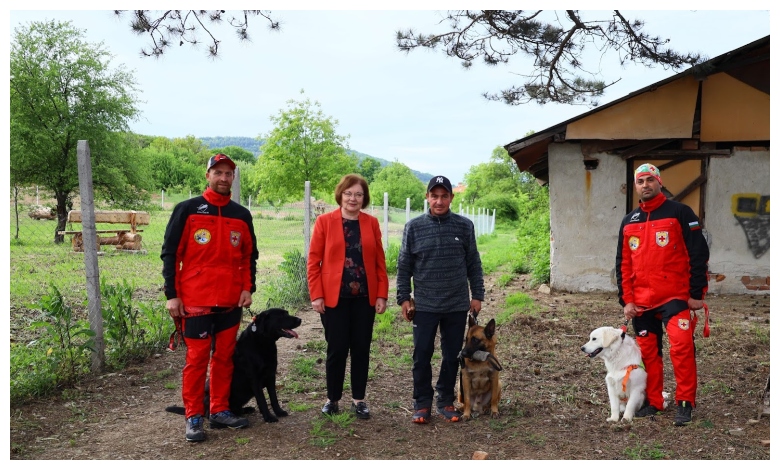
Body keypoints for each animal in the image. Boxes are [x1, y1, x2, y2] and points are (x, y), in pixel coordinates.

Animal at [166, 308, 304, 422]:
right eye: (281, 316)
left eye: (287, 313)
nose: (299, 320)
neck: (262, 343)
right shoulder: (254, 379)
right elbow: (263, 400)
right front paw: (268, 417)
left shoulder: (271, 375)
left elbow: (274, 398)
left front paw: (279, 412)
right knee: (208, 414)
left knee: (236, 409)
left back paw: (245, 410)